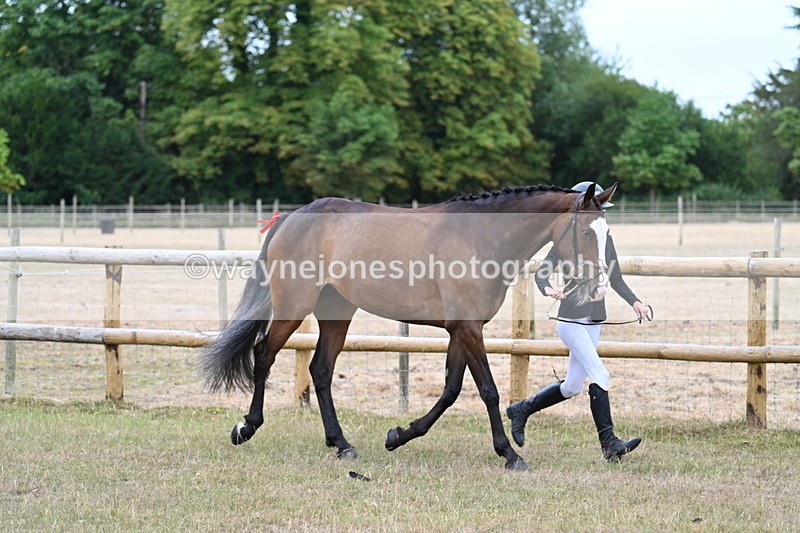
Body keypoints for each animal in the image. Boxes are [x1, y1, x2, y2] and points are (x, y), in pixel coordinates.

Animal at [200, 182, 617, 470]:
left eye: (605, 233)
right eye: (585, 232)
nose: (598, 286)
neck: (483, 236)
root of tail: (293, 217)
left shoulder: (461, 330)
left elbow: (450, 391)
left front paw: (398, 436)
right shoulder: (468, 329)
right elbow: (487, 391)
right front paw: (509, 454)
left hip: (337, 313)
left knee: (320, 370)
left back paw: (342, 444)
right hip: (292, 308)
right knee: (263, 355)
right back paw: (247, 427)